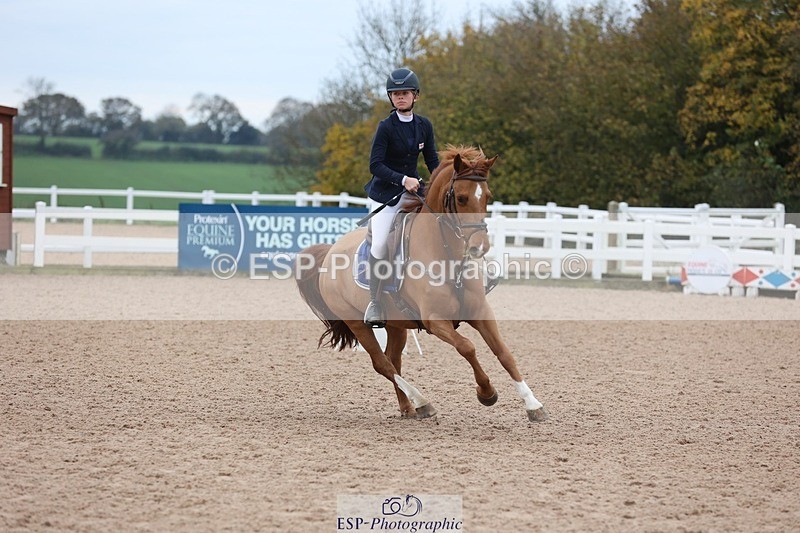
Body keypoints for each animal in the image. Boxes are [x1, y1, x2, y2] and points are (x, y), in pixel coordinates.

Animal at [295, 145, 548, 423]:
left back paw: (409, 407)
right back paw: (422, 401)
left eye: (487, 197)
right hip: (357, 323)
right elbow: (467, 347)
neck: (447, 256)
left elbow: (504, 353)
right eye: (461, 198)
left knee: (393, 360)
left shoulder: (481, 312)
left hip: (396, 325)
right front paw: (486, 392)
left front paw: (533, 404)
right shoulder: (435, 321)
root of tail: (330, 251)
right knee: (382, 364)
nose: (479, 247)